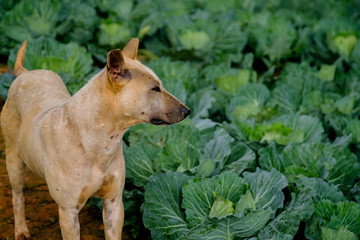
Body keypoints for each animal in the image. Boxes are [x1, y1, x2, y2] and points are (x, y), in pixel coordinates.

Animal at [0, 38, 191, 239]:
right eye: (155, 88)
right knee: (17, 195)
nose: (187, 111)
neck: (98, 140)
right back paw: (21, 229)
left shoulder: (114, 203)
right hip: (13, 159)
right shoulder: (69, 212)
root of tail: (25, 73)